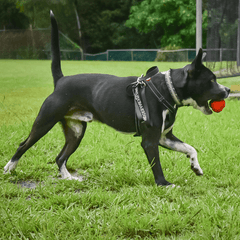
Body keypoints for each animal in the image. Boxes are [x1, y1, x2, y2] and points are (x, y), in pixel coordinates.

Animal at [3, 11, 229, 186]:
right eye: (212, 80)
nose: (227, 90)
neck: (166, 88)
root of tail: (61, 80)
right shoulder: (150, 141)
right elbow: (156, 165)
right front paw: (163, 184)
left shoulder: (165, 137)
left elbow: (190, 148)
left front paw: (195, 166)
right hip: (44, 122)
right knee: (23, 145)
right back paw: (9, 168)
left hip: (76, 132)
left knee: (60, 158)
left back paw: (68, 178)